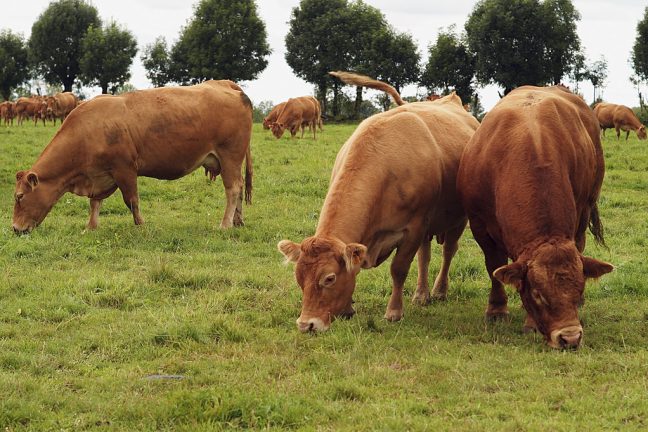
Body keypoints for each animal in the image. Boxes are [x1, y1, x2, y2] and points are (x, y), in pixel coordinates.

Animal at [13, 79, 253, 235]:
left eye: (20, 197)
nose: (15, 228)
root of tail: (226, 84)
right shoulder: (99, 175)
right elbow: (95, 203)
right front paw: (90, 227)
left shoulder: (125, 169)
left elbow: (132, 201)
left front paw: (141, 225)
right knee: (240, 186)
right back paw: (238, 220)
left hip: (230, 155)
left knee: (233, 189)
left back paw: (225, 224)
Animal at [276, 72, 478, 332]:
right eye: (299, 277)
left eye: (329, 278)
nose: (306, 324)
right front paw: (348, 309)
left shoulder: (414, 227)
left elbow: (398, 269)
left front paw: (394, 311)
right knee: (425, 257)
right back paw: (422, 294)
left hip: (456, 219)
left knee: (448, 252)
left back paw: (439, 290)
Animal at [456, 86, 612, 350]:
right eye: (538, 294)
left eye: (580, 289)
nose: (570, 337)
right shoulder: (479, 226)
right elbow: (494, 265)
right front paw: (496, 310)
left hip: (586, 208)